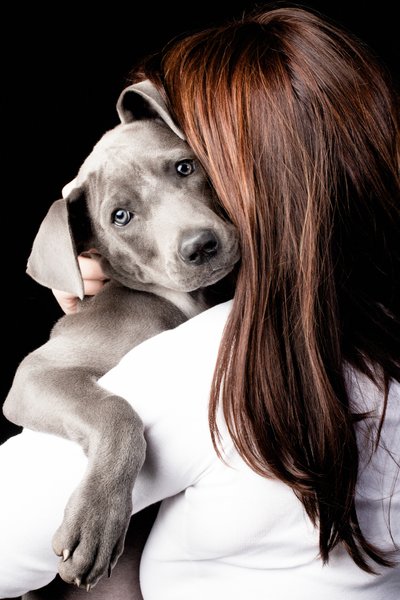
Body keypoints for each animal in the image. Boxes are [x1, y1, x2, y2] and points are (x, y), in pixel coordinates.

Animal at [3, 83, 239, 592]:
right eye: (121, 216)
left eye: (185, 167)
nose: (200, 246)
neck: (180, 302)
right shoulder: (35, 375)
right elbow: (115, 410)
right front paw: (96, 520)